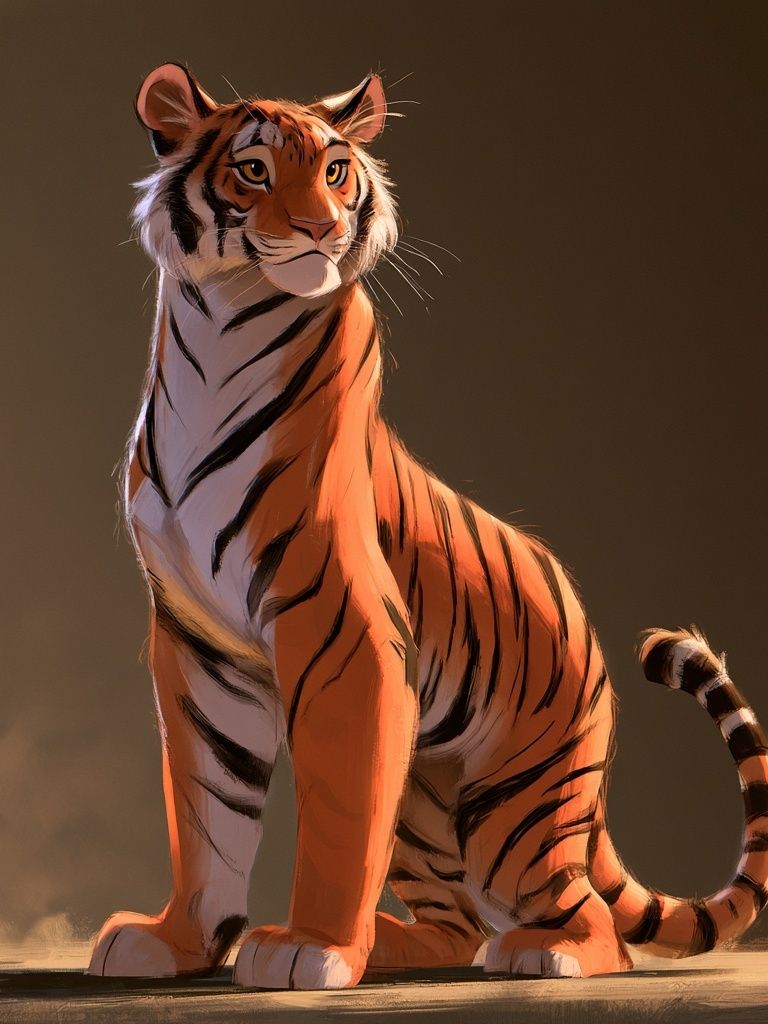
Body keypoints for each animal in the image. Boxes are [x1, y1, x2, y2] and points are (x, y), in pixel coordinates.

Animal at [87, 62, 768, 988]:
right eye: (254, 170)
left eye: (336, 170)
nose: (323, 226)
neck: (222, 324)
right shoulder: (197, 643)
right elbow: (205, 807)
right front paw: (179, 942)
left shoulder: (342, 632)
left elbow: (338, 815)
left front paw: (309, 947)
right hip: (423, 790)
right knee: (455, 925)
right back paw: (392, 943)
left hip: (513, 810)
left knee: (594, 925)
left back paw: (540, 952)